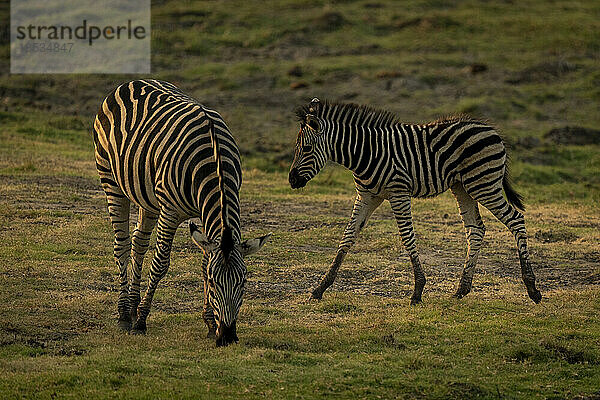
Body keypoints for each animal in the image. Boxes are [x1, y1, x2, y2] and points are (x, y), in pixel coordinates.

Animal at [93, 79, 270, 346]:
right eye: (213, 282)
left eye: (244, 281)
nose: (227, 336)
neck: (215, 162)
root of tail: (132, 82)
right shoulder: (171, 210)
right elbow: (160, 263)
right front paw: (141, 321)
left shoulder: (204, 214)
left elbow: (205, 261)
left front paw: (210, 323)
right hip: (110, 180)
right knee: (121, 245)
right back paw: (125, 315)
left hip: (148, 197)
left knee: (138, 242)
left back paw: (132, 307)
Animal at [290, 98, 544, 304]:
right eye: (298, 148)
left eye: (307, 148)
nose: (292, 180)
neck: (365, 154)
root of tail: (491, 129)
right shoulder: (367, 196)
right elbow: (348, 236)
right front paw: (320, 288)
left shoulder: (398, 192)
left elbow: (407, 237)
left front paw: (418, 290)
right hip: (462, 187)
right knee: (475, 229)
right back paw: (462, 289)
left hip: (484, 184)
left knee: (516, 219)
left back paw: (532, 288)